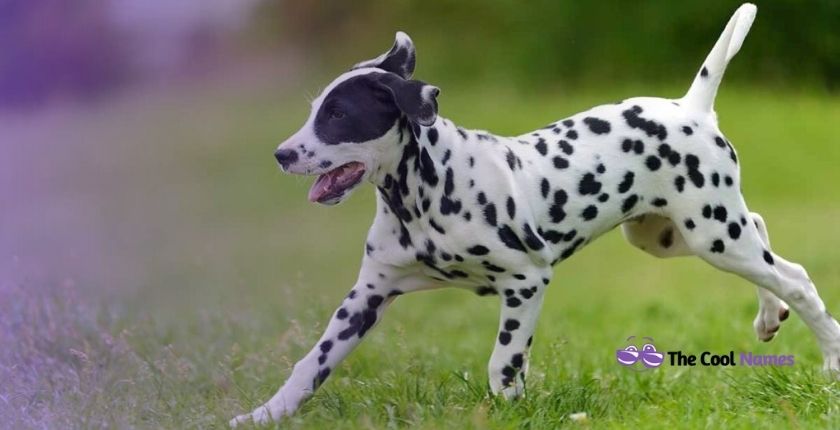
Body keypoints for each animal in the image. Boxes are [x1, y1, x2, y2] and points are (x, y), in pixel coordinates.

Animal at [233, 3, 840, 424]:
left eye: (338, 115)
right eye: (315, 110)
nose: (282, 154)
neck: (424, 198)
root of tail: (690, 107)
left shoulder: (527, 280)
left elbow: (503, 363)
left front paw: (506, 410)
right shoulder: (366, 296)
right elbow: (310, 364)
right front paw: (263, 416)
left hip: (713, 235)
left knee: (797, 279)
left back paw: (830, 358)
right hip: (676, 236)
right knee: (764, 236)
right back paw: (769, 316)